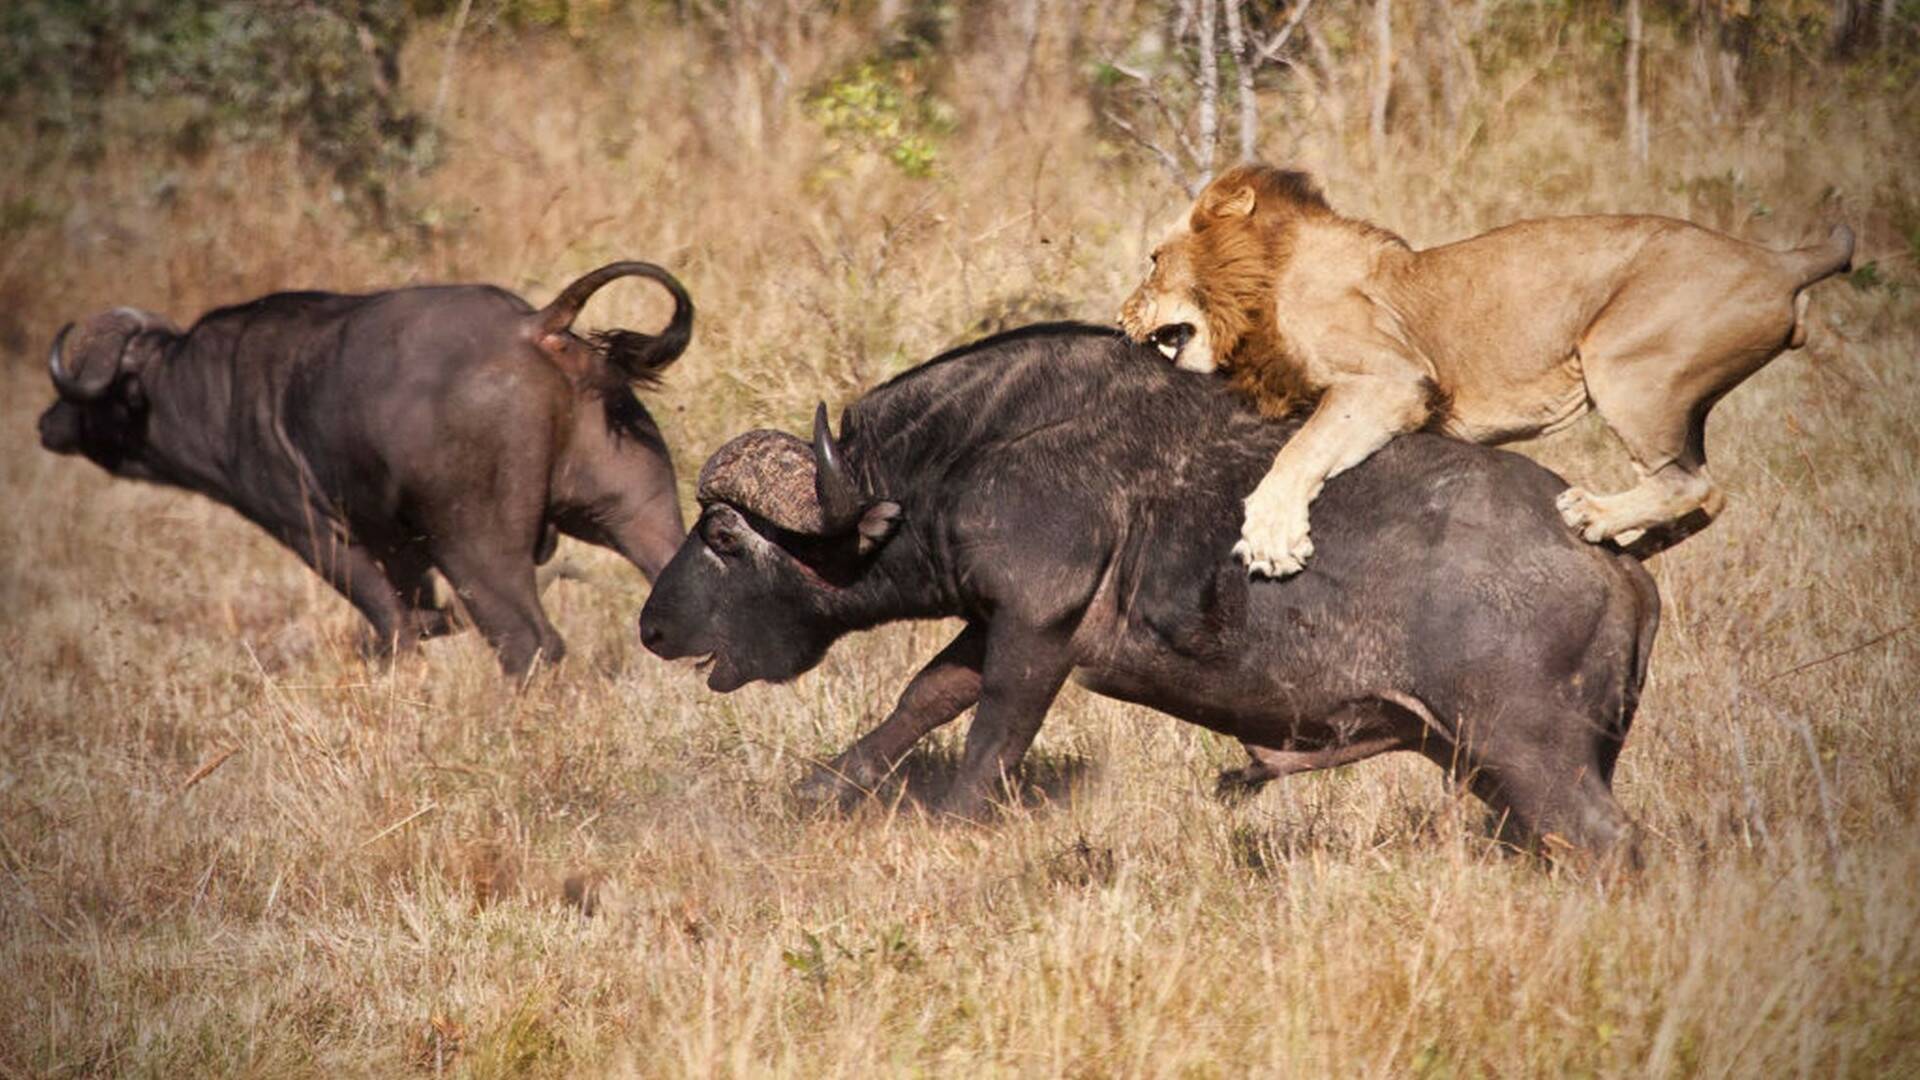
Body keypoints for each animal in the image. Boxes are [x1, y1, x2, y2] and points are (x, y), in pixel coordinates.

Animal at [39, 259, 691, 672]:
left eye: (90, 392)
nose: (47, 423)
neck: (211, 390)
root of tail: (533, 327)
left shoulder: (312, 532)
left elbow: (392, 622)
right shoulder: (401, 546)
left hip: (476, 548)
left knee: (528, 644)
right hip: (634, 510)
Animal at [637, 322, 1658, 853]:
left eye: (722, 536)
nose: (650, 626)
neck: (973, 452)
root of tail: (1618, 562)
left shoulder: (1034, 630)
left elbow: (991, 737)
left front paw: (956, 822)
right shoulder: (991, 622)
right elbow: (923, 695)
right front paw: (823, 788)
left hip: (1533, 756)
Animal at [1121, 160, 1850, 576]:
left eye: (1153, 259)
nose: (1122, 312)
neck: (1262, 281)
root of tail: (1779, 259)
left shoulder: (1393, 379)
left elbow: (1300, 451)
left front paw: (1272, 537)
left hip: (1626, 366)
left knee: (1691, 483)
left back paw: (1593, 516)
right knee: (1709, 494)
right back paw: (1627, 543)